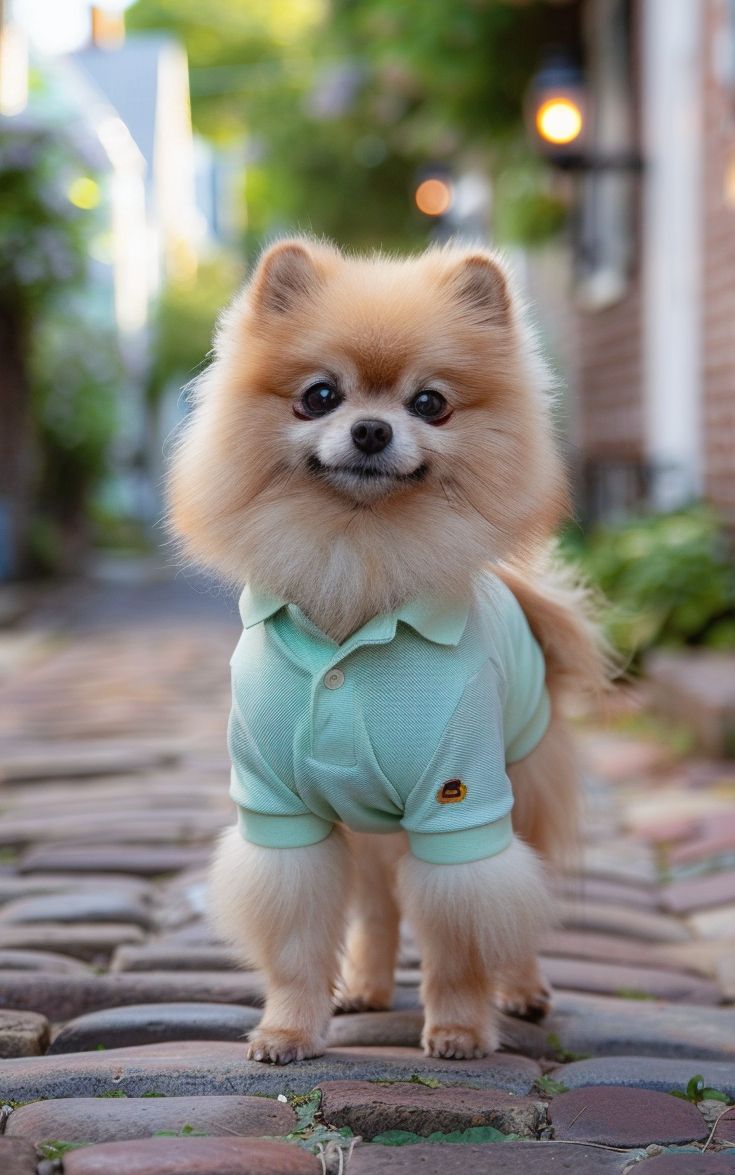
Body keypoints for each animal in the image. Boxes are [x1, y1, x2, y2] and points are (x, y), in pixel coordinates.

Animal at [169, 238, 605, 1066]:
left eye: (428, 403)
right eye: (319, 396)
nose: (371, 430)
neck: (358, 557)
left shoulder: (458, 805)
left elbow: (461, 932)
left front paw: (460, 1026)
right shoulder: (283, 812)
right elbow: (298, 941)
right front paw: (290, 1026)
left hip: (518, 792)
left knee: (519, 899)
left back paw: (521, 988)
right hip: (367, 824)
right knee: (377, 909)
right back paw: (365, 986)